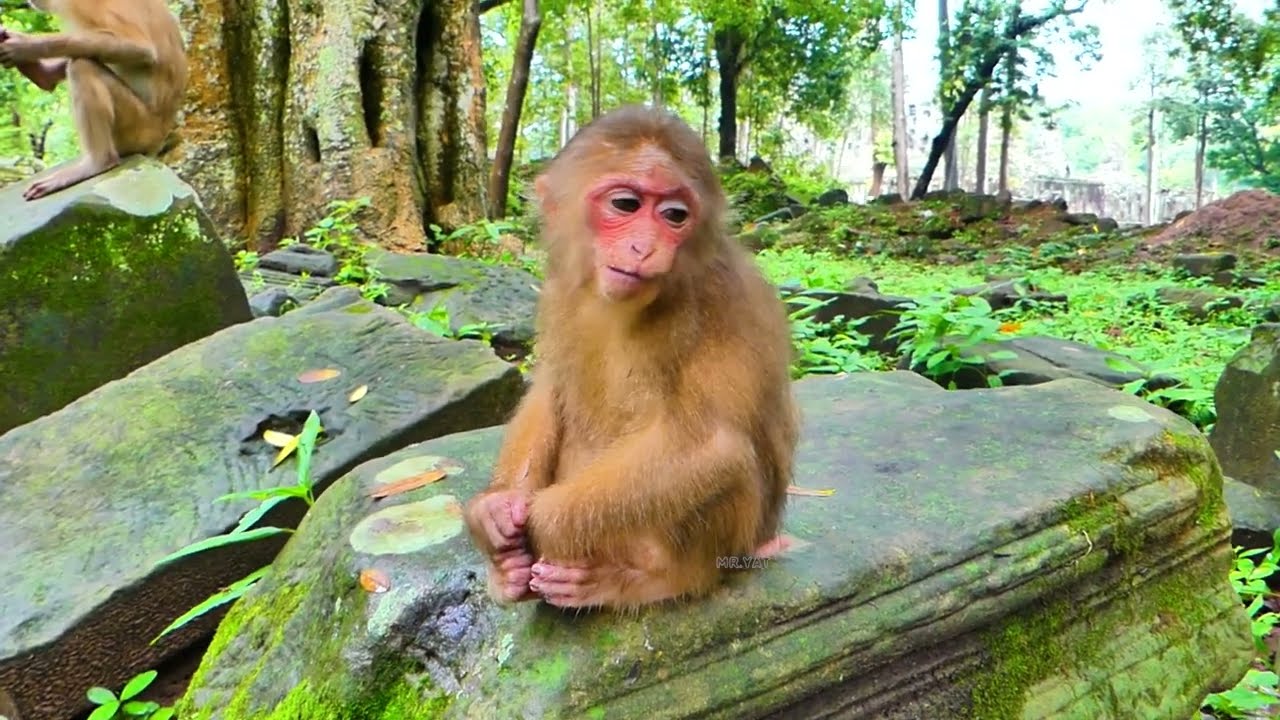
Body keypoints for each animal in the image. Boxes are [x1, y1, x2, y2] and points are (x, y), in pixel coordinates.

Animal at [0, 0, 188, 201]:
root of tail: (161, 135)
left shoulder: (89, 6)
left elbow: (141, 49)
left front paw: (24, 47)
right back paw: (43, 76)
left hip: (140, 127)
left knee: (82, 66)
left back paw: (99, 162)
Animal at [464, 104, 801, 611]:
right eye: (625, 205)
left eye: (674, 215)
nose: (645, 246)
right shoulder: (560, 287)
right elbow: (551, 388)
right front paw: (495, 513)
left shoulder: (723, 297)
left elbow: (712, 442)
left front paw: (543, 522)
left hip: (731, 544)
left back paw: (653, 579)